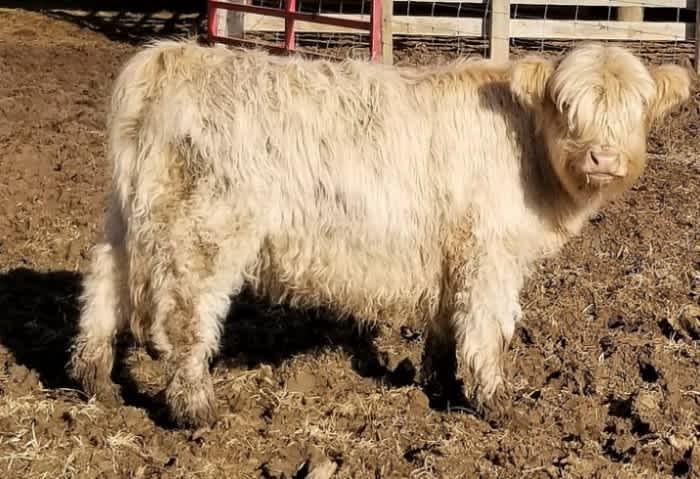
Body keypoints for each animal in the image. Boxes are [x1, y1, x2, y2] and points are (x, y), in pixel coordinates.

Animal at [68, 39, 691, 428]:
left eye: (636, 108)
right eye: (566, 104)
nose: (603, 156)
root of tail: (173, 56)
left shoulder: (452, 251)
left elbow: (445, 323)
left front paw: (439, 384)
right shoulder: (490, 254)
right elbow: (486, 328)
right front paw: (495, 403)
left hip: (127, 219)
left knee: (102, 288)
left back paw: (95, 380)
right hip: (206, 234)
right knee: (186, 318)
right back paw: (196, 409)